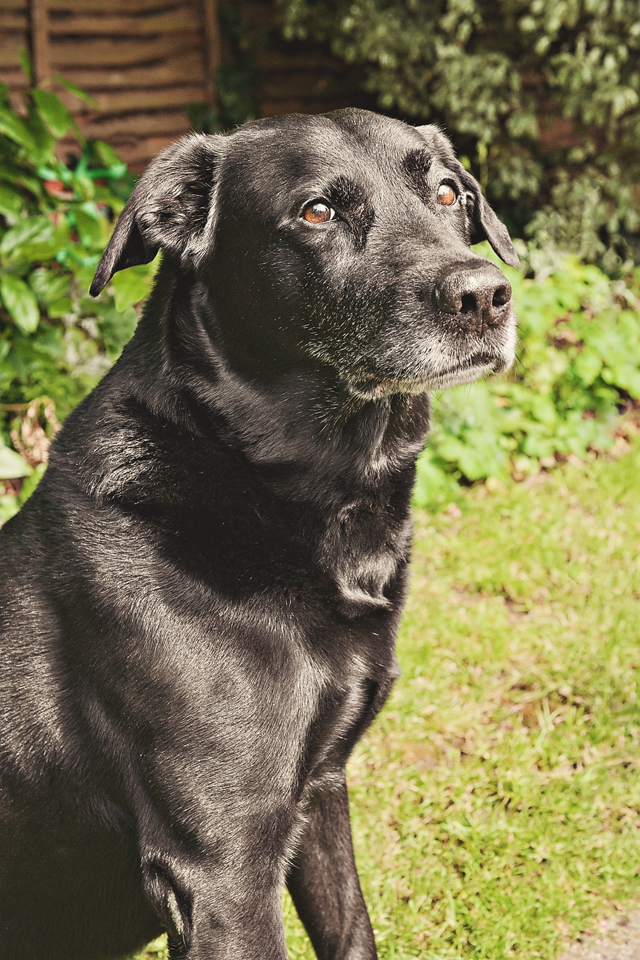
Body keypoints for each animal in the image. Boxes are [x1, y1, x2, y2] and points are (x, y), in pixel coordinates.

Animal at [0, 112, 516, 960]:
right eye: (317, 212)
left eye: (447, 191)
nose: (485, 295)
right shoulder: (223, 866)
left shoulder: (320, 790)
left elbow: (352, 933)